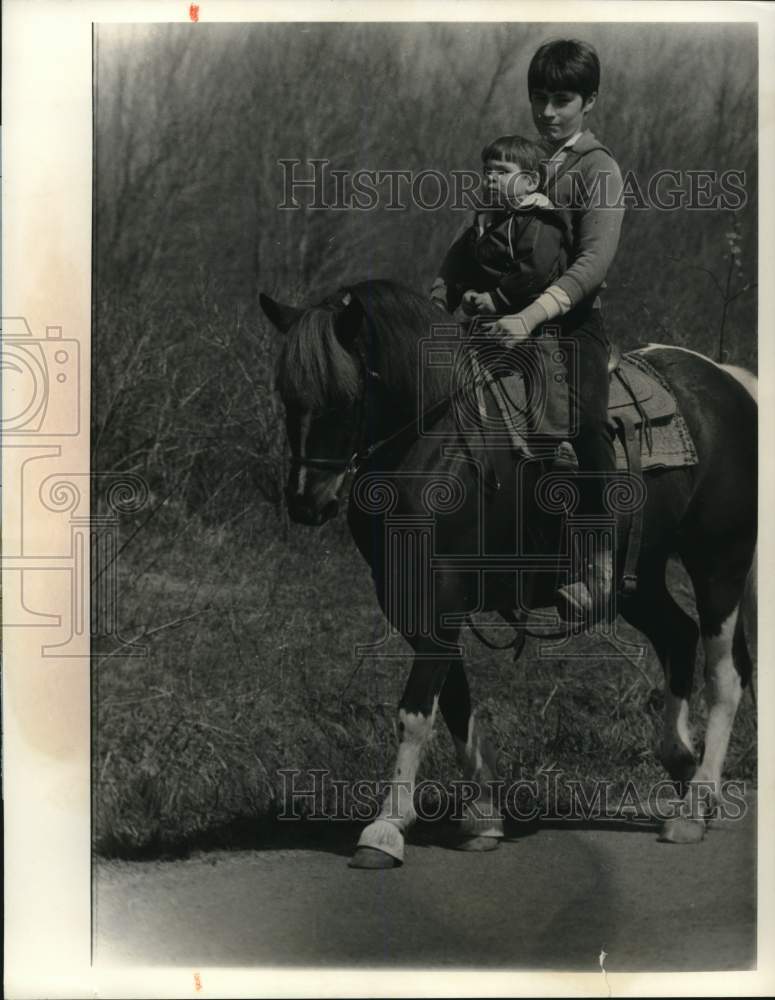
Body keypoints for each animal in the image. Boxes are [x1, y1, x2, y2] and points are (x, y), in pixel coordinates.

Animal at [260, 278, 757, 870]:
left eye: (344, 395)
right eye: (286, 394)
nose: (306, 502)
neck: (436, 447)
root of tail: (731, 383)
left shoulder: (440, 606)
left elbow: (415, 713)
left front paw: (385, 828)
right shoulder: (418, 606)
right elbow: (455, 706)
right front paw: (482, 816)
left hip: (719, 560)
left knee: (725, 673)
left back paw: (696, 804)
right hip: (640, 576)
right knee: (678, 637)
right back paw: (680, 763)